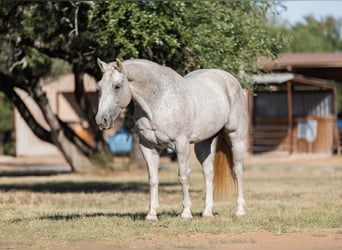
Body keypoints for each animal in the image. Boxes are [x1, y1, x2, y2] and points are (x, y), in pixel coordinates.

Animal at [95, 58, 247, 221]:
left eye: (117, 86)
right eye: (99, 86)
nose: (101, 120)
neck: (159, 101)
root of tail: (232, 81)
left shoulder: (181, 145)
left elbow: (183, 177)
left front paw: (186, 213)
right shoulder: (148, 147)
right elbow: (153, 179)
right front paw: (152, 214)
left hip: (236, 139)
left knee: (238, 171)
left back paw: (240, 211)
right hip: (203, 144)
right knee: (208, 173)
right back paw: (207, 212)